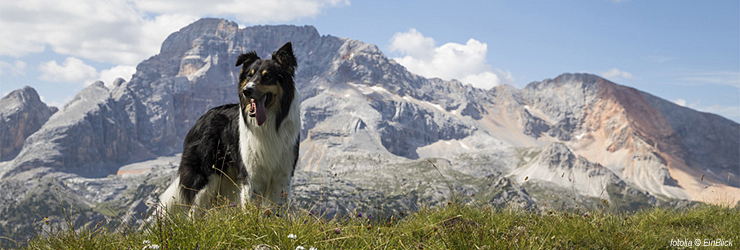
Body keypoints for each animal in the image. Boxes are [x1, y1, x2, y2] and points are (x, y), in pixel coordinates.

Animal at [159, 42, 300, 215]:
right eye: (249, 76)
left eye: (267, 76)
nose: (246, 90)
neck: (270, 123)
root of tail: (202, 117)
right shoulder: (251, 175)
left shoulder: (282, 176)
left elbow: (277, 210)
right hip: (206, 175)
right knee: (194, 210)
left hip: (226, 180)